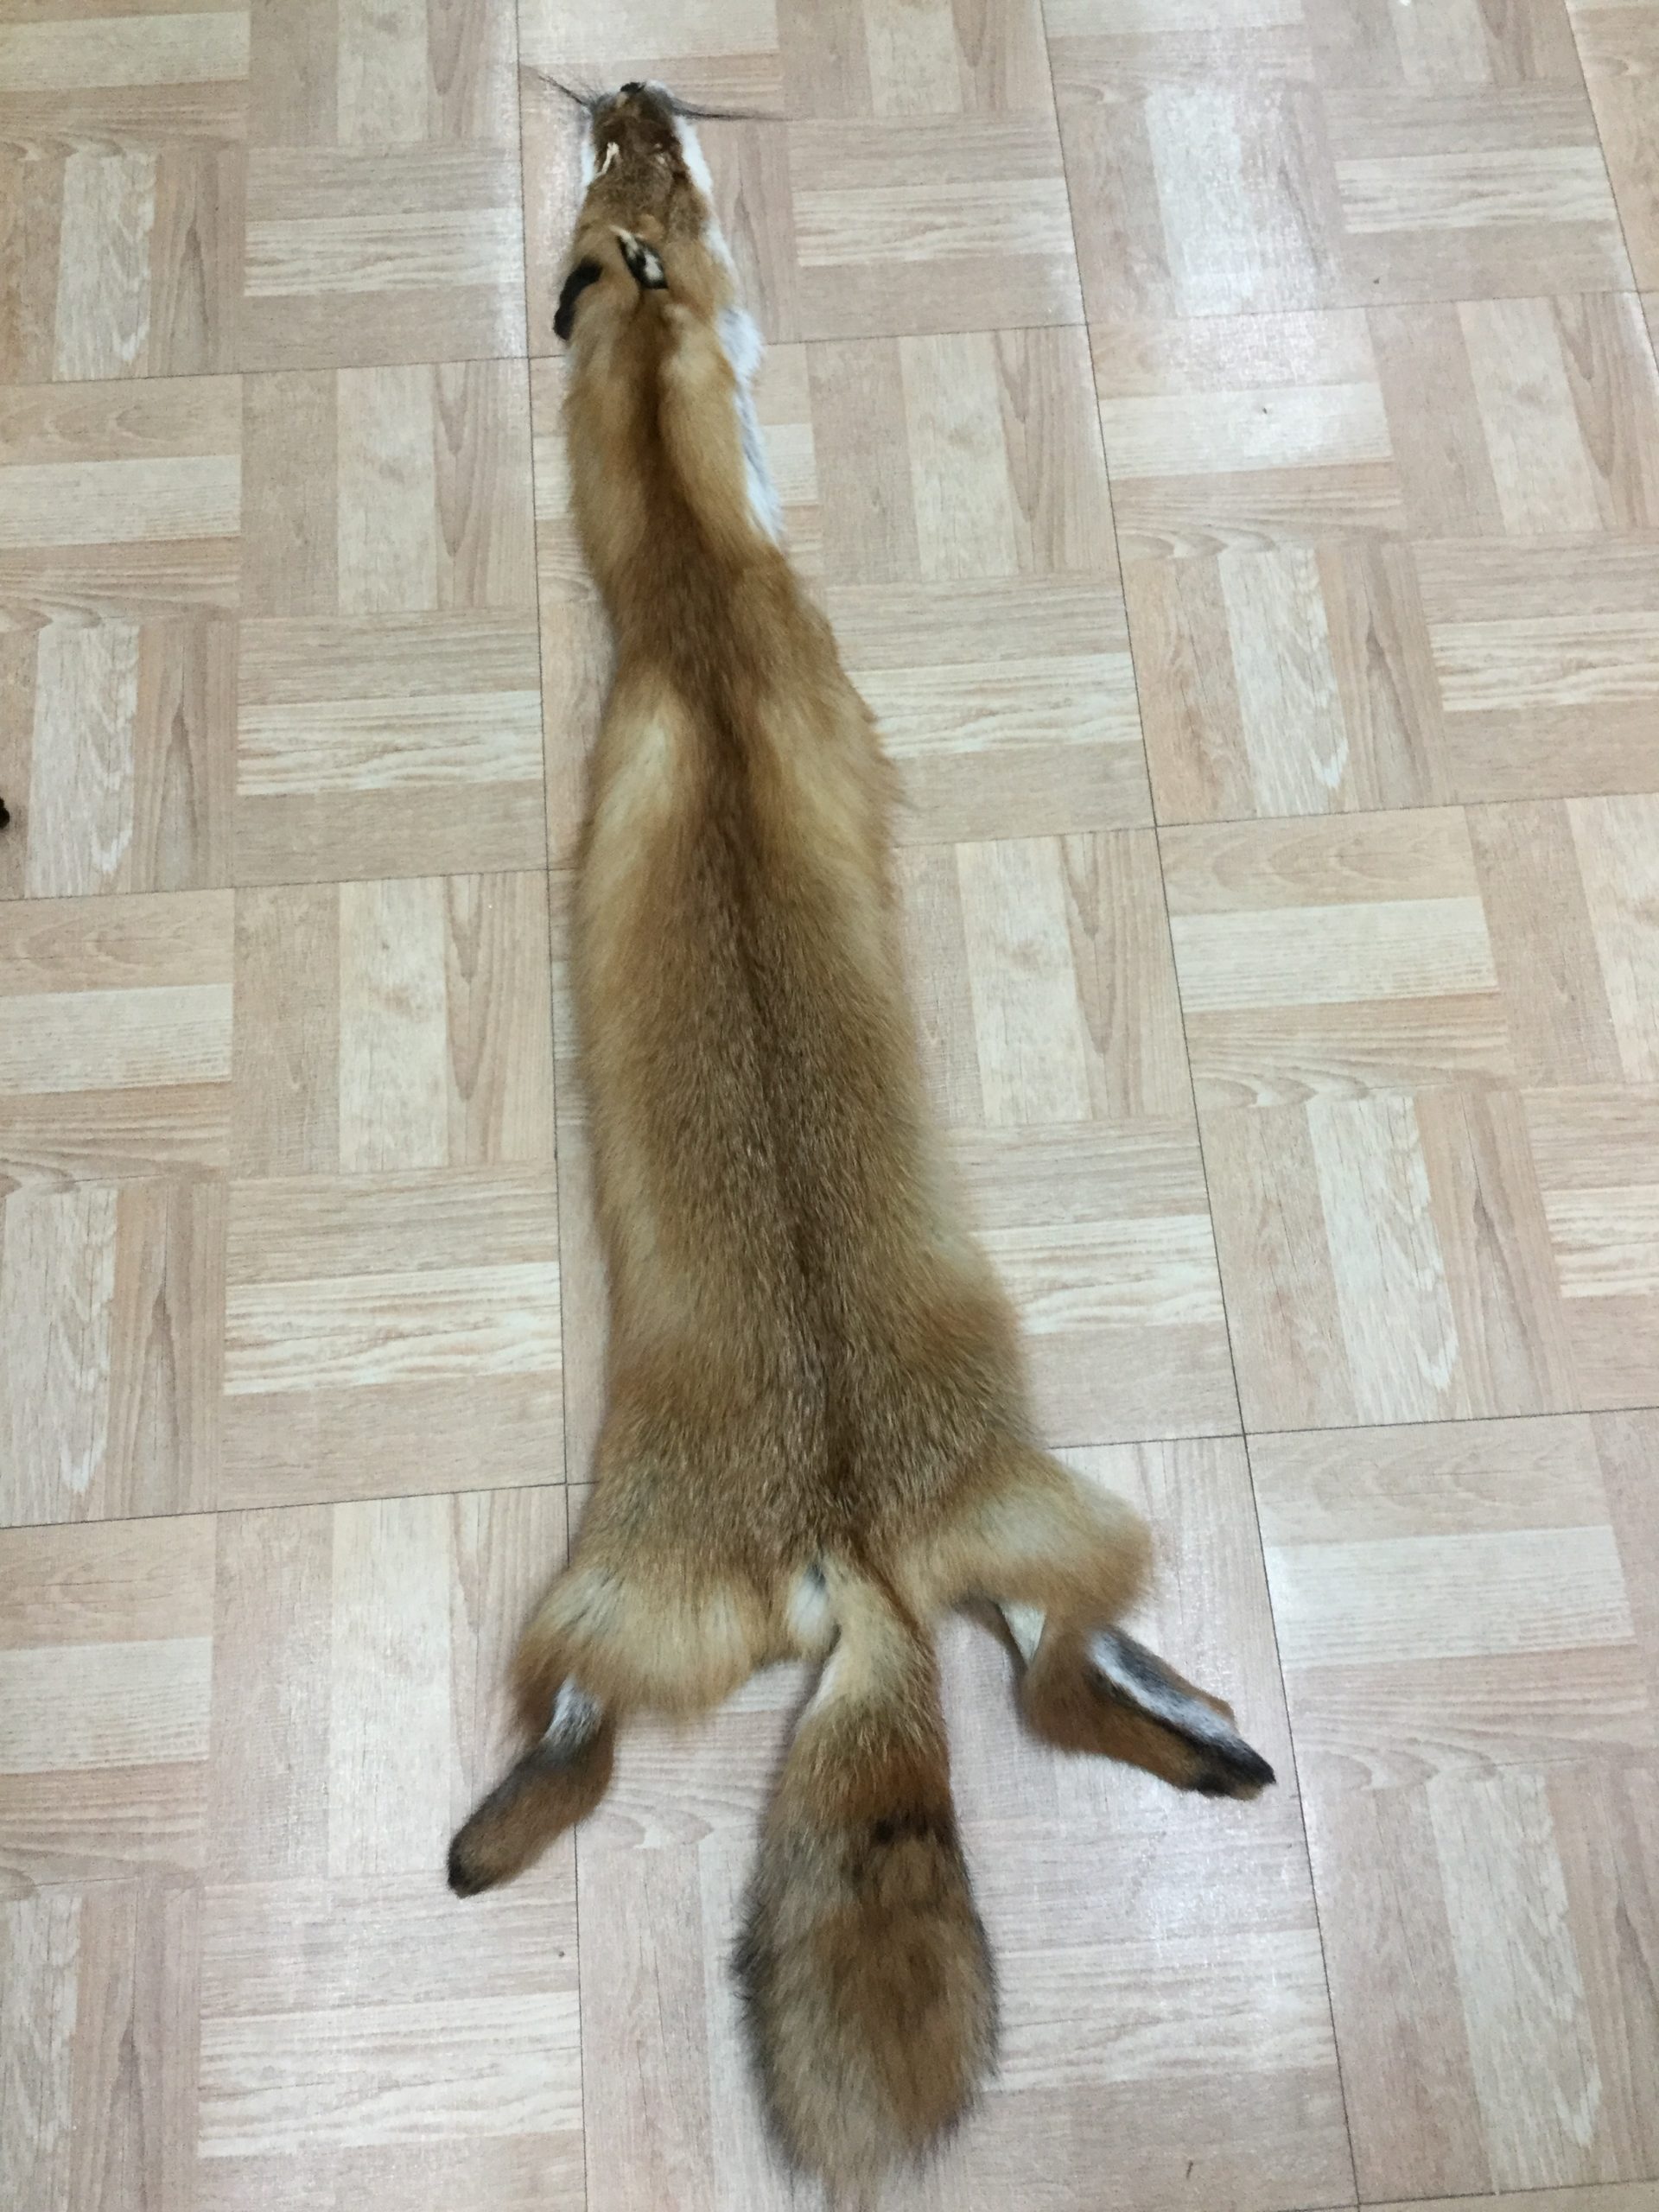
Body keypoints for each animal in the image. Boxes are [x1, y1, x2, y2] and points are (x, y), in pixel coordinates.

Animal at [448, 81, 1274, 2204]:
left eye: (637, 166)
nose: (628, 83)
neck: (695, 621)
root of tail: (851, 1538)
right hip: (717, 1575)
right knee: (1024, 1677)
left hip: (941, 1535)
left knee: (1045, 1674)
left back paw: (1212, 1741)